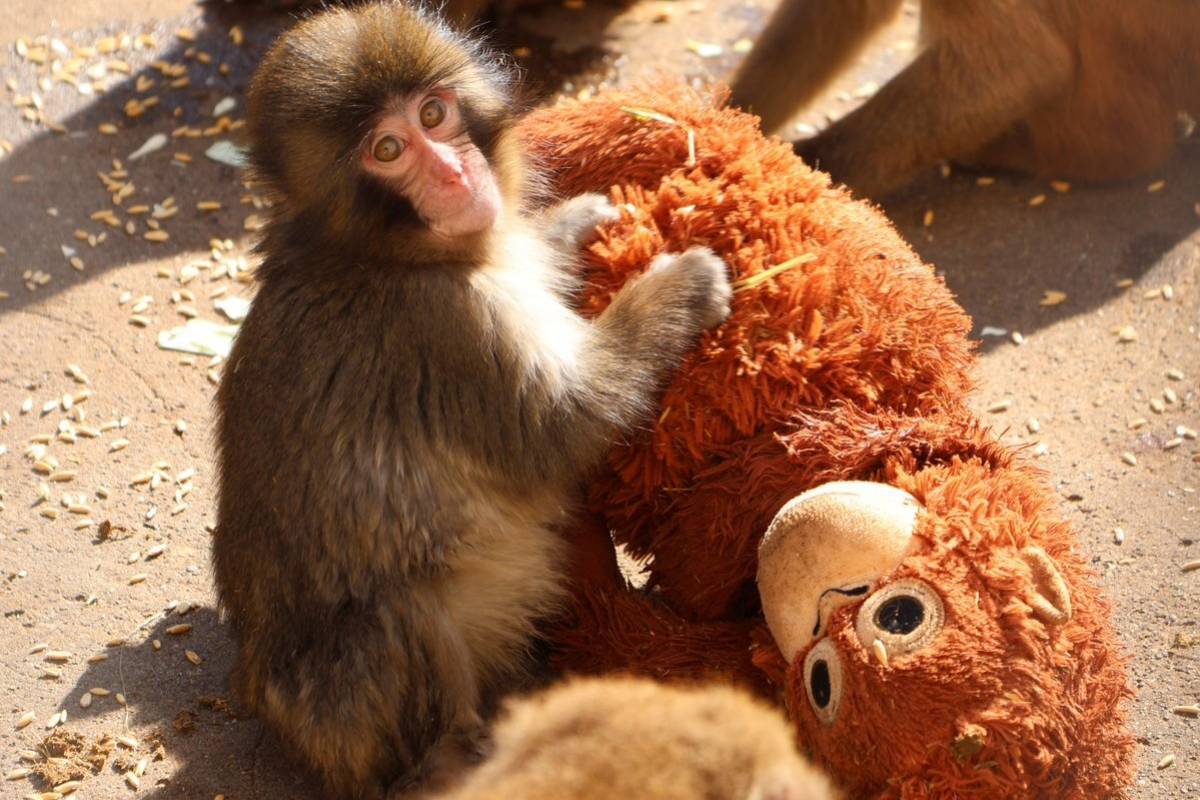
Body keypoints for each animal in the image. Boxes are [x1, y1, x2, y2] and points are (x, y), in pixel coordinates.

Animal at [211, 4, 732, 799]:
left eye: (434, 113)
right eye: (388, 150)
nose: (455, 173)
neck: (381, 252)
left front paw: (571, 223)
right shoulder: (448, 326)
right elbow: (564, 425)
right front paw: (680, 288)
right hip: (345, 715)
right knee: (398, 613)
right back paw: (456, 758)